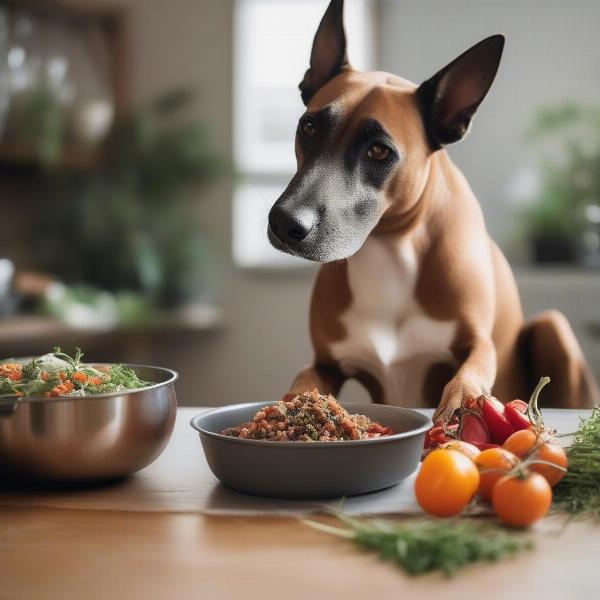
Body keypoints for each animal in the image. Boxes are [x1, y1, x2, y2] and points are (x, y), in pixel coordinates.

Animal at [268, 0, 600, 422]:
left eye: (379, 150)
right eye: (308, 127)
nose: (284, 223)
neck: (390, 248)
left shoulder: (479, 345)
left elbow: (470, 372)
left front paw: (460, 402)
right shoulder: (325, 363)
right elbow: (303, 381)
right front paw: (291, 408)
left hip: (552, 326)